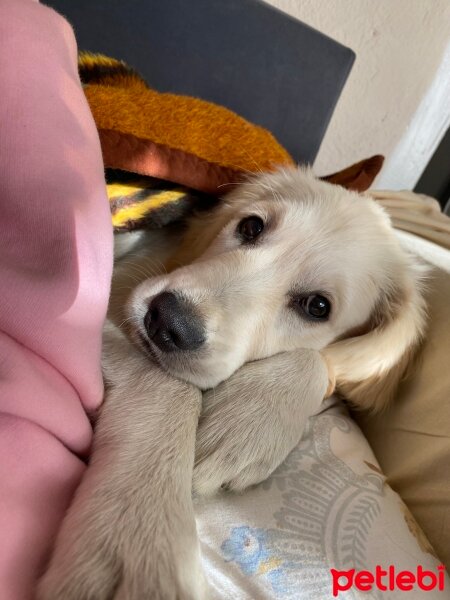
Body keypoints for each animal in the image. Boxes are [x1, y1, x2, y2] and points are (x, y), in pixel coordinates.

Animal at [38, 168, 426, 600]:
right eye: (251, 226)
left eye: (318, 306)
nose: (167, 321)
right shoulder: (113, 297)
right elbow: (169, 385)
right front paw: (139, 533)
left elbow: (321, 359)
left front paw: (247, 425)